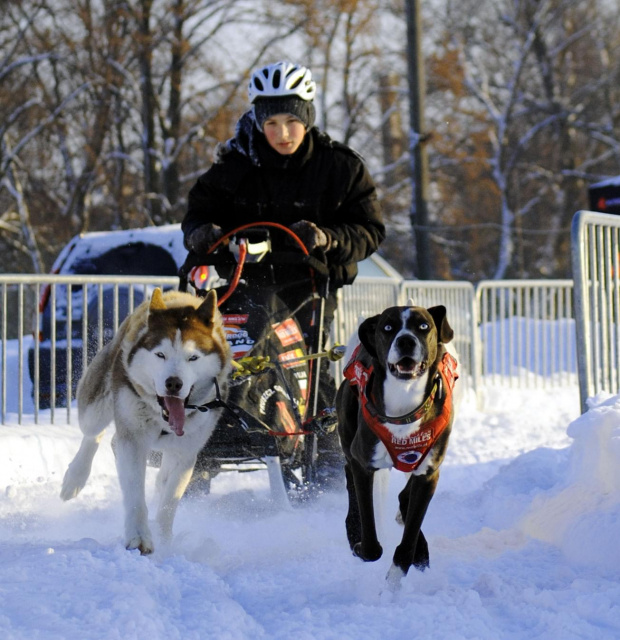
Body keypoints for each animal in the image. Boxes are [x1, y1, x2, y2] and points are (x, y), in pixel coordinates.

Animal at [336, 304, 458, 592]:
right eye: (388, 327)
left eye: (423, 326)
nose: (405, 341)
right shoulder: (364, 463)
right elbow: (371, 542)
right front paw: (360, 544)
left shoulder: (428, 471)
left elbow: (410, 534)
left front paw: (397, 574)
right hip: (348, 436)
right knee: (349, 477)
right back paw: (353, 531)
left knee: (404, 498)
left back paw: (421, 550)